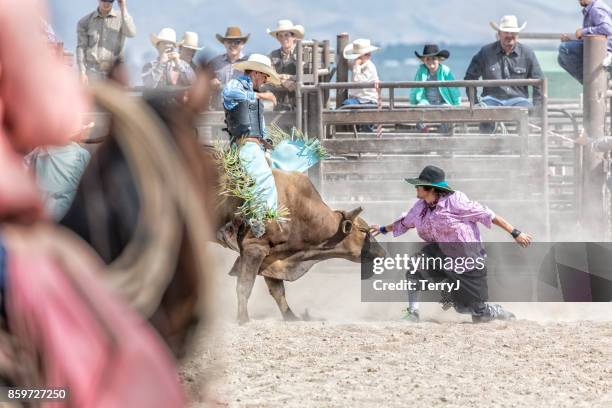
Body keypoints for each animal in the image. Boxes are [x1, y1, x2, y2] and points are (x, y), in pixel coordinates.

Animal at [218, 169, 384, 322]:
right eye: (363, 230)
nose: (382, 253)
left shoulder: (271, 258)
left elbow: (277, 290)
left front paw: (291, 317)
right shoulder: (254, 248)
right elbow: (244, 286)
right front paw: (243, 319)